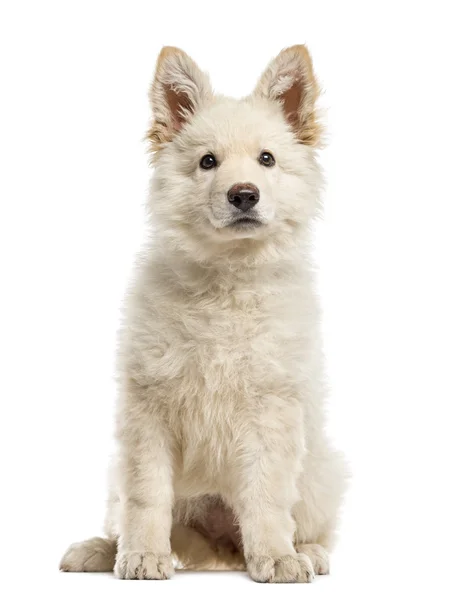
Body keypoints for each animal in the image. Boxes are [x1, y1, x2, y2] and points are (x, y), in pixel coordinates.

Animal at [60, 45, 346, 580]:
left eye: (267, 159)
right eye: (207, 162)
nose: (244, 194)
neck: (226, 280)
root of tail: (219, 549)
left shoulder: (271, 408)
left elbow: (266, 495)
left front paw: (277, 557)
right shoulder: (147, 407)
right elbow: (147, 495)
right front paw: (143, 555)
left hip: (321, 471)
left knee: (306, 524)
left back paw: (306, 552)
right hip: (119, 474)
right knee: (131, 514)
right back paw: (101, 550)